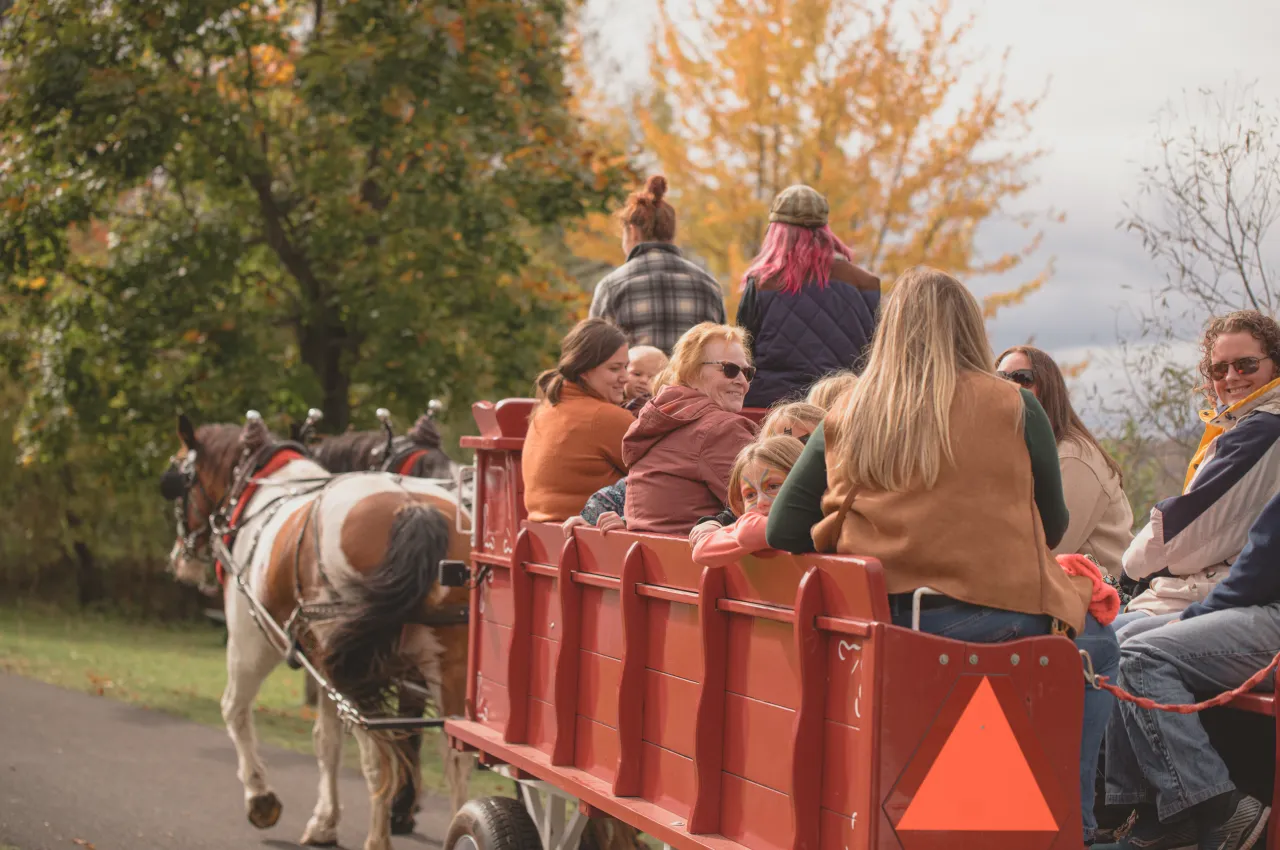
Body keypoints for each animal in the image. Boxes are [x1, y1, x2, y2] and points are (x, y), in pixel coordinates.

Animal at [162, 412, 476, 850]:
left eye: (179, 485)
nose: (180, 558)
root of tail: (413, 509)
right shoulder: (322, 662)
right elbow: (327, 741)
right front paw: (325, 822)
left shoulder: (251, 642)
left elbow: (234, 709)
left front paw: (260, 798)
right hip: (444, 660)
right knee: (455, 757)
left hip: (352, 669)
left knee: (378, 756)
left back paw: (377, 837)